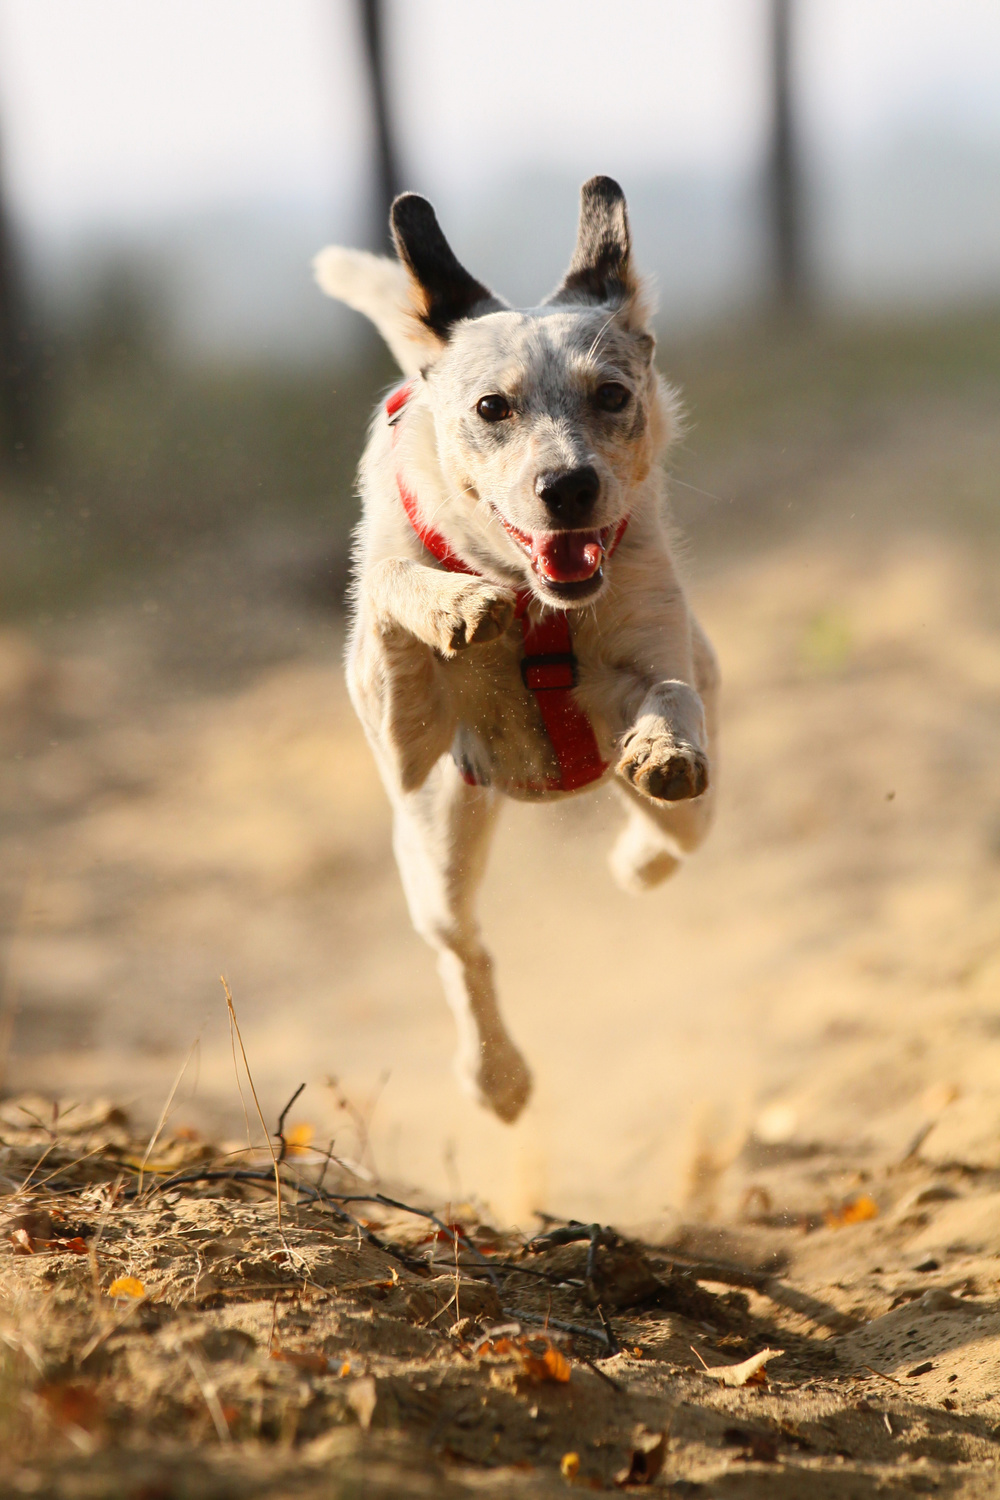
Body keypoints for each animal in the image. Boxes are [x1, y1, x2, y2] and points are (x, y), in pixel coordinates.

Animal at [316, 178, 716, 1128]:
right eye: (492, 408)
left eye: (611, 395)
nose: (567, 487)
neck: (539, 608)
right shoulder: (405, 743)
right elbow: (391, 578)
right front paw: (452, 604)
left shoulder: (664, 659)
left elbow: (671, 698)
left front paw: (663, 747)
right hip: (438, 840)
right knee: (463, 949)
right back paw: (495, 1074)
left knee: (675, 831)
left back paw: (641, 846)